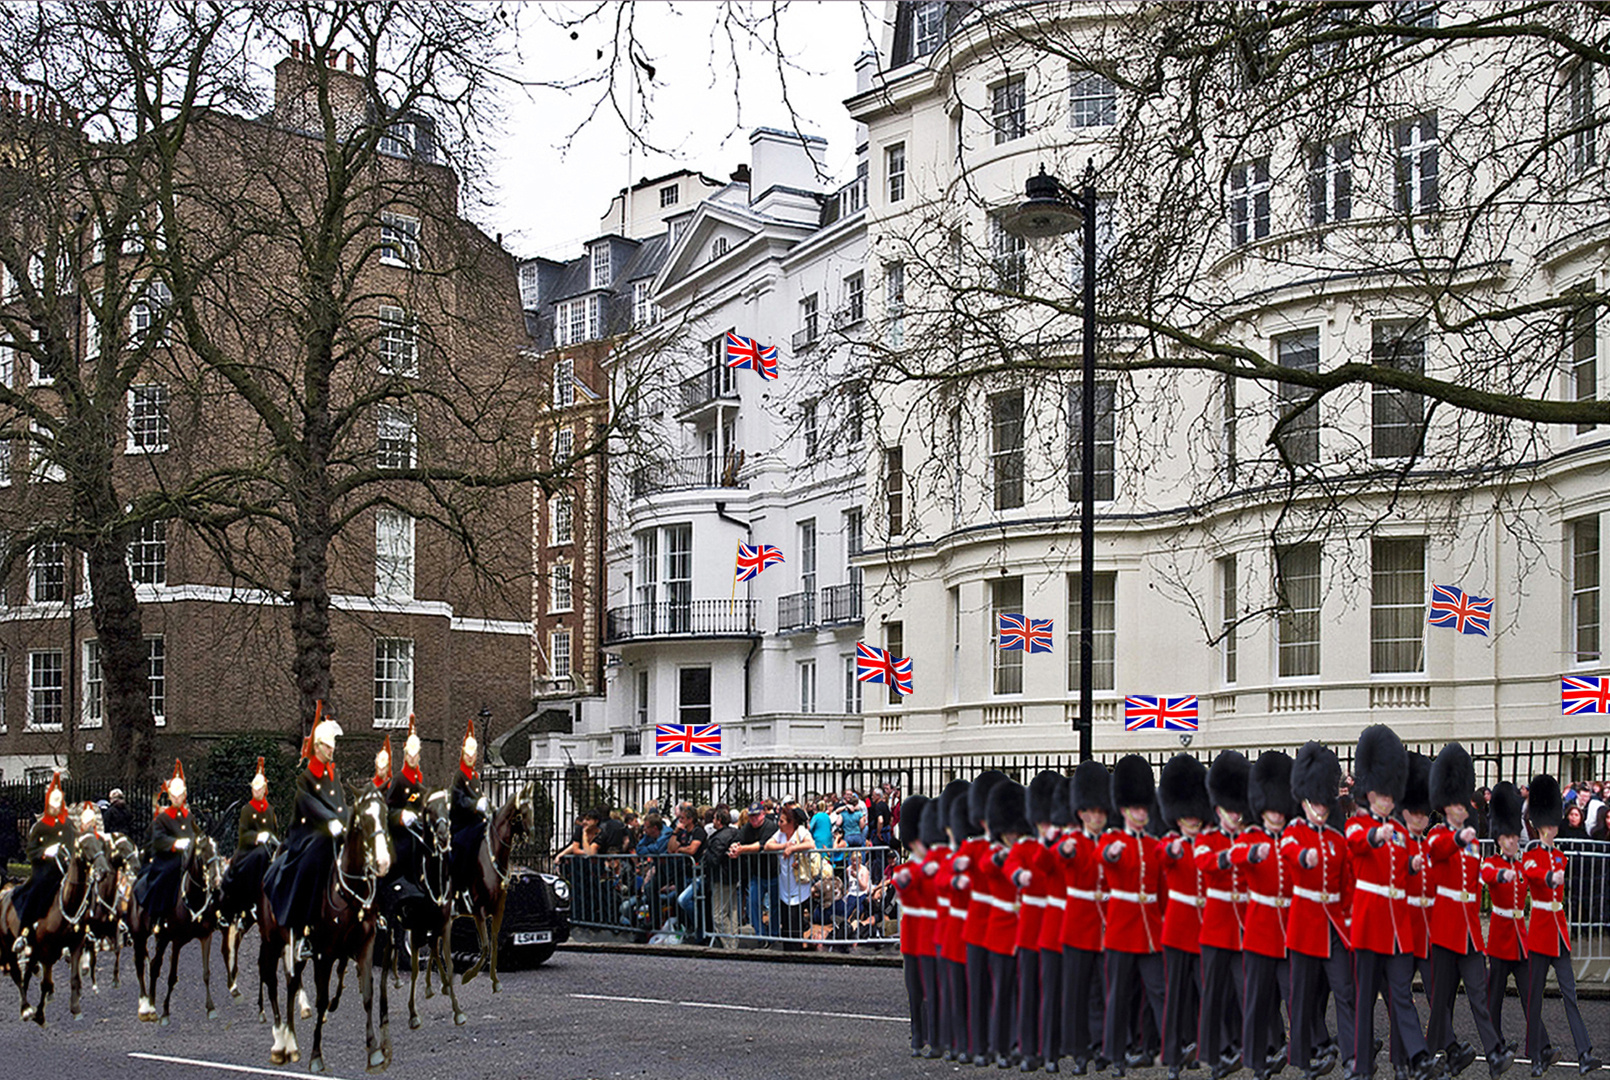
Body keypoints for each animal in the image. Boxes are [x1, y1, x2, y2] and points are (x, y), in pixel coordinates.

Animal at [0, 830, 111, 1023]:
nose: (102, 871)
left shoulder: (75, 945)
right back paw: (26, 1009)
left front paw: (75, 1009)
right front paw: (39, 1014)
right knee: (16, 974)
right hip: (8, 946)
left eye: (101, 844)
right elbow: (45, 982)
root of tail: (5, 896)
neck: (67, 903)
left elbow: (74, 978)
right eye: (85, 846)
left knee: (27, 972)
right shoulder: (46, 950)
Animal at [128, 830, 225, 1023]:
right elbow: (172, 977)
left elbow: (206, 973)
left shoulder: (206, 937)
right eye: (201, 855)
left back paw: (151, 1004)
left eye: (217, 852)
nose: (217, 881)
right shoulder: (177, 941)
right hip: (140, 936)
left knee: (153, 965)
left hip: (161, 939)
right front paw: (165, 1012)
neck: (193, 899)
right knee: (141, 965)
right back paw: (145, 1007)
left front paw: (210, 1008)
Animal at [260, 785, 396, 1075]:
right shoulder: (324, 954)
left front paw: (374, 1052)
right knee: (273, 983)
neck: (348, 891)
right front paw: (316, 1057)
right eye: (363, 820)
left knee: (291, 983)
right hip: (272, 941)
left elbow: (367, 993)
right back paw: (280, 1044)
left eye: (384, 813)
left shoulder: (365, 945)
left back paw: (292, 1043)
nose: (382, 863)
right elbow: (322, 1000)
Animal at [454, 779, 534, 997]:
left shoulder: (498, 910)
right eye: (522, 810)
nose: (532, 835)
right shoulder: (479, 912)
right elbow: (485, 947)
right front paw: (469, 974)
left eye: (532, 808)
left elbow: (494, 944)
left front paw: (495, 981)